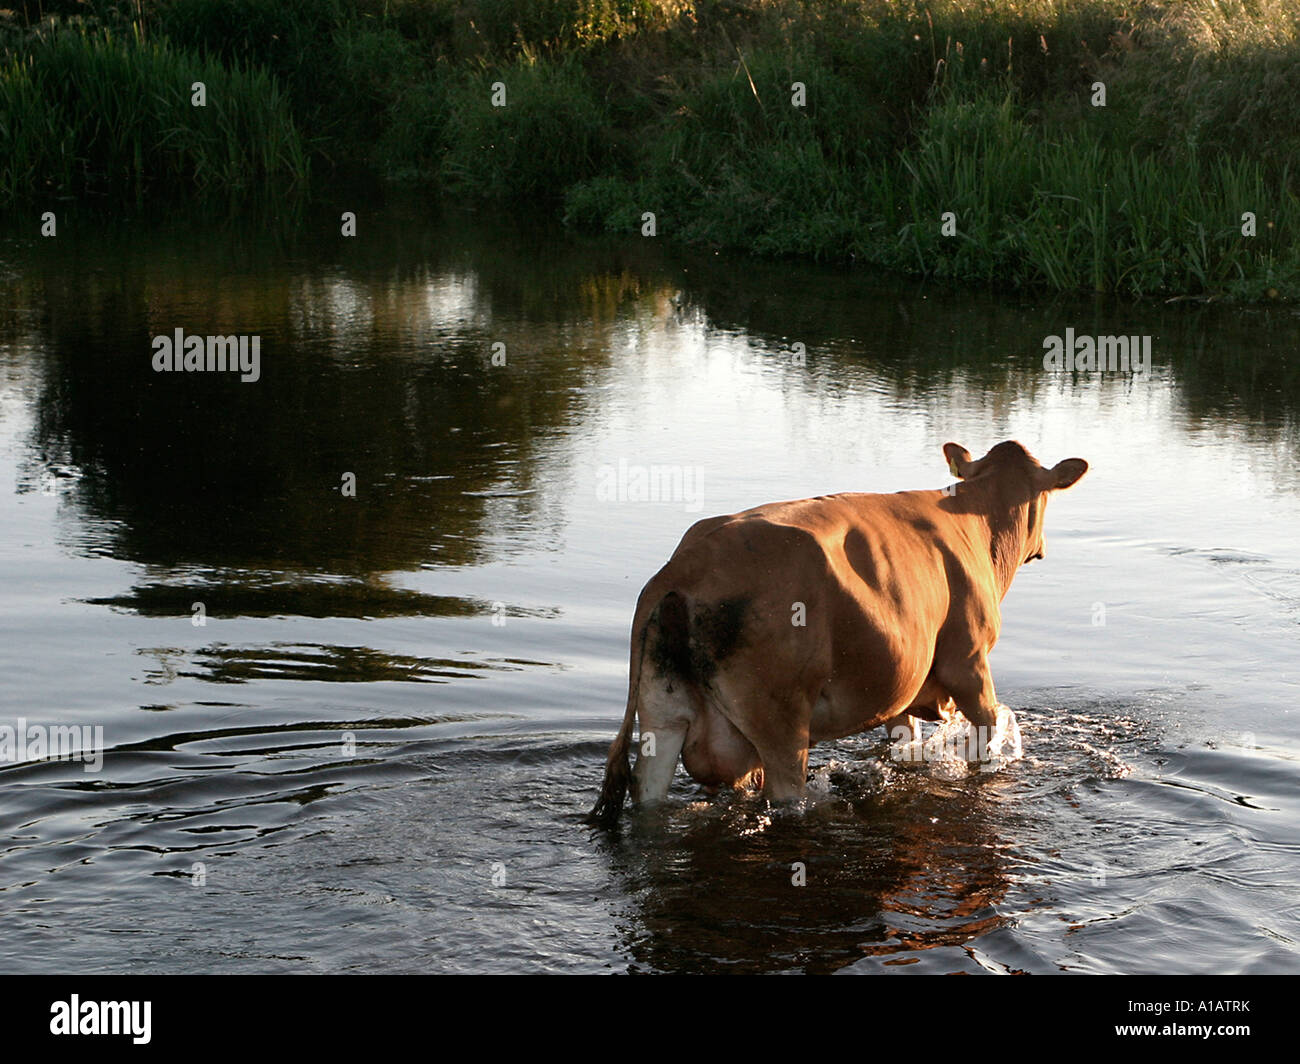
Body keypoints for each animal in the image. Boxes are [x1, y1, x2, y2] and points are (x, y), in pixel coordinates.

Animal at [587, 440, 1088, 827]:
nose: (1041, 548)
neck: (975, 522)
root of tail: (683, 566)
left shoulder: (898, 689)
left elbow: (904, 739)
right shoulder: (969, 663)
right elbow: (989, 735)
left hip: (662, 713)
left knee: (647, 792)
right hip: (781, 723)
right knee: (785, 792)